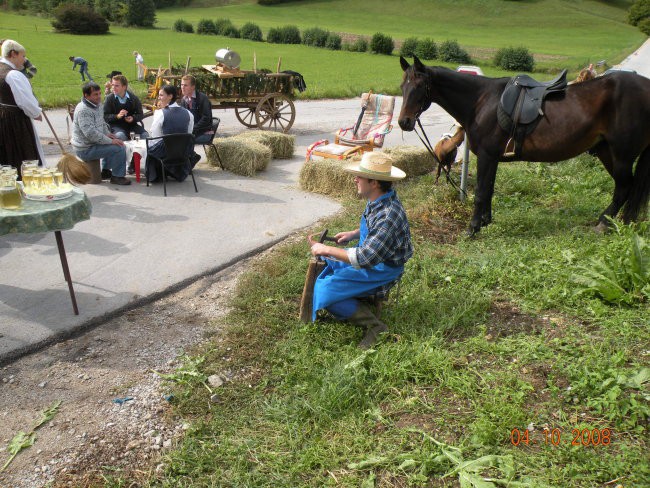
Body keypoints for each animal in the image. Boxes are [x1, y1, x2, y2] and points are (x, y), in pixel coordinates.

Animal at [398, 56, 648, 235]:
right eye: (402, 86)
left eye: (419, 87)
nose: (404, 122)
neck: (481, 101)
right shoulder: (493, 158)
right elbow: (489, 189)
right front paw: (486, 222)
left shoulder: (487, 156)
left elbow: (480, 192)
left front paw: (473, 228)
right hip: (606, 150)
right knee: (625, 187)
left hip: (622, 154)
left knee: (624, 187)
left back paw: (604, 223)